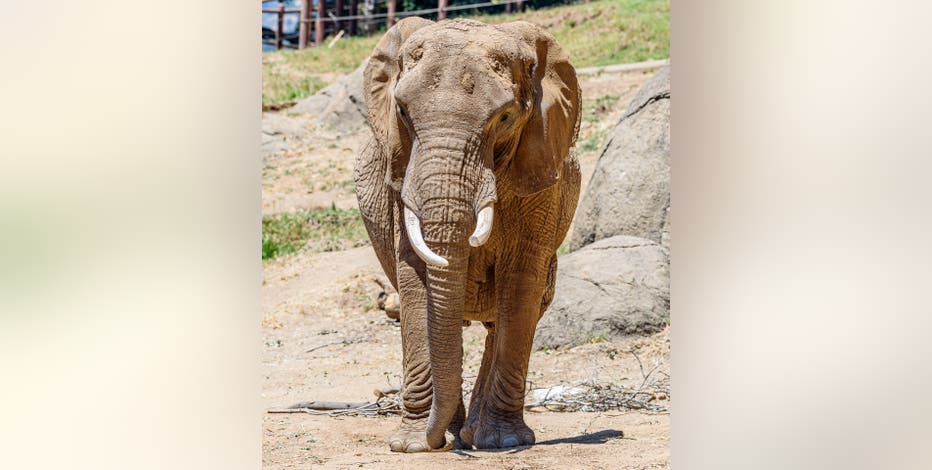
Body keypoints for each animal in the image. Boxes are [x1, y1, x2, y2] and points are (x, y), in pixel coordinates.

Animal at [354, 18, 580, 452]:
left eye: (505, 117)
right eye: (402, 112)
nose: (436, 441)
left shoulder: (542, 172)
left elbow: (521, 282)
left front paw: (505, 442)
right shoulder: (401, 175)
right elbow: (414, 278)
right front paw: (413, 444)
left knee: (509, 316)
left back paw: (476, 435)